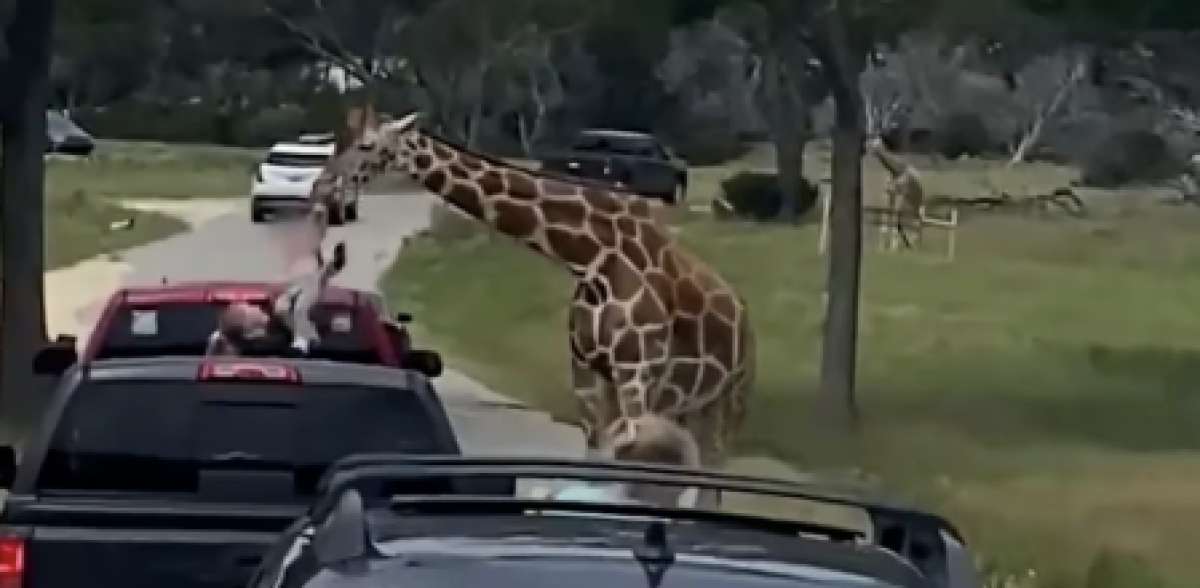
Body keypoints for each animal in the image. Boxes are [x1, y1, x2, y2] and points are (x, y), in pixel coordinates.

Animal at [313, 105, 755, 476]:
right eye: (341, 140)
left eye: (367, 145)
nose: (323, 184)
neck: (592, 257)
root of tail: (743, 315)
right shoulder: (587, 372)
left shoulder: (637, 373)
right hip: (688, 405)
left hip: (728, 401)